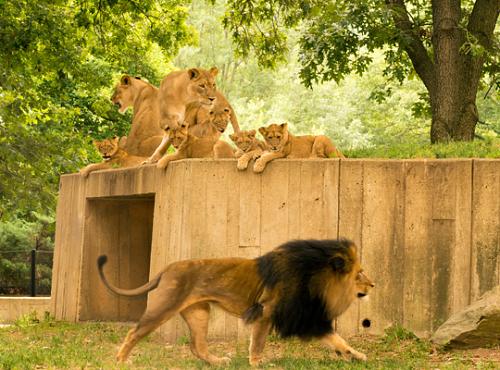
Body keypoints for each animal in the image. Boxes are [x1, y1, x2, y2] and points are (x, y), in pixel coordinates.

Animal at [97, 240, 374, 364]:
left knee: (197, 346)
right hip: (165, 306)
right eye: (360, 273)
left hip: (199, 312)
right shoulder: (266, 312)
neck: (316, 277)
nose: (373, 285)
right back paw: (121, 361)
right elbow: (258, 344)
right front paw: (257, 365)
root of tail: (167, 268)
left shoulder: (307, 319)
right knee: (133, 332)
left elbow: (337, 340)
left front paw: (358, 355)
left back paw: (219, 362)